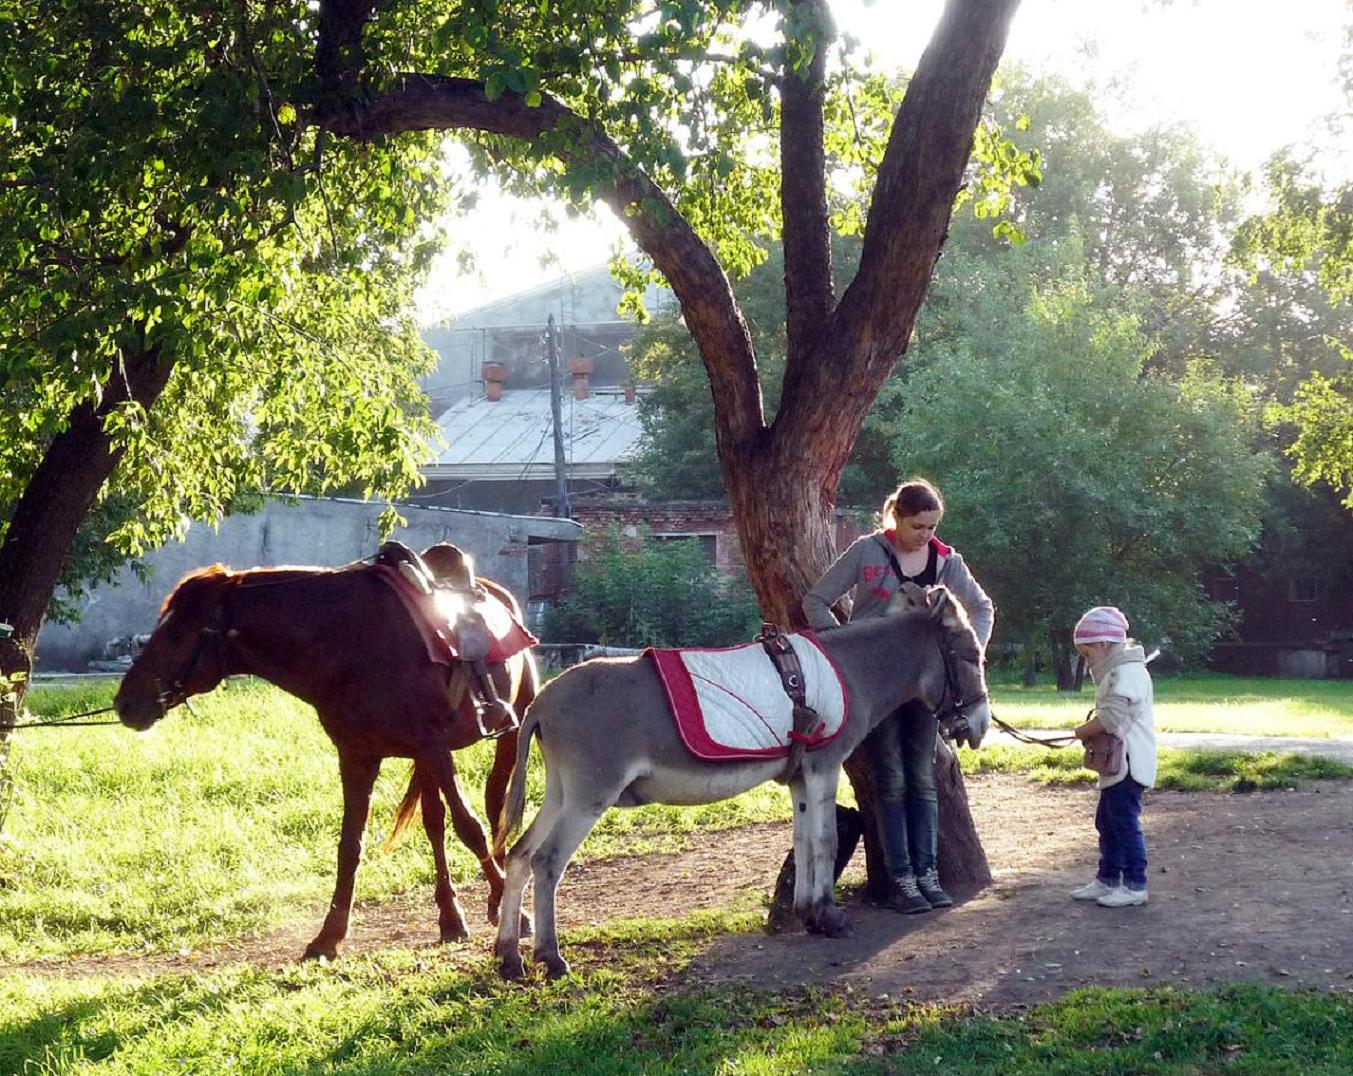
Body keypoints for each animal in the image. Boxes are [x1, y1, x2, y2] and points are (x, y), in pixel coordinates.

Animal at [115, 546, 538, 958]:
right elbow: (350, 845)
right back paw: (451, 918)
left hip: (506, 734)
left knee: (495, 805)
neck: (352, 643)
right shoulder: (357, 757)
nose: (125, 703)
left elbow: (470, 827)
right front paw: (328, 935)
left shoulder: (433, 746)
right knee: (435, 822)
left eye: (176, 634)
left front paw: (511, 909)